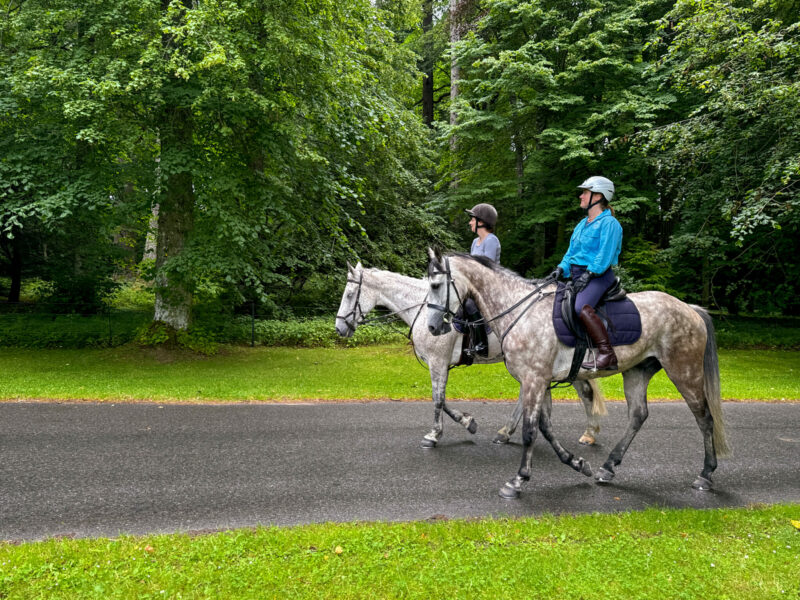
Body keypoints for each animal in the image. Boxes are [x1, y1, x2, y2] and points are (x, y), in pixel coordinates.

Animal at [334, 261, 606, 448]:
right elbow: (442, 399)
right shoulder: (439, 364)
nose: (339, 328)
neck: (424, 309)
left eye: (349, 294)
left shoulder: (438, 362)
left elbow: (438, 399)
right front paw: (468, 422)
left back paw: (588, 432)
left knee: (581, 392)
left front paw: (434, 435)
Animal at [425, 250, 731, 499]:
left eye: (436, 285)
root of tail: (690, 308)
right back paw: (608, 467)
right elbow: (545, 428)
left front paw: (518, 481)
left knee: (704, 418)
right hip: (637, 371)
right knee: (638, 416)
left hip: (684, 371)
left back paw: (706, 474)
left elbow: (530, 431)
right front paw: (577, 463)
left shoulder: (535, 380)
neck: (520, 312)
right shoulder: (536, 381)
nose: (432, 328)